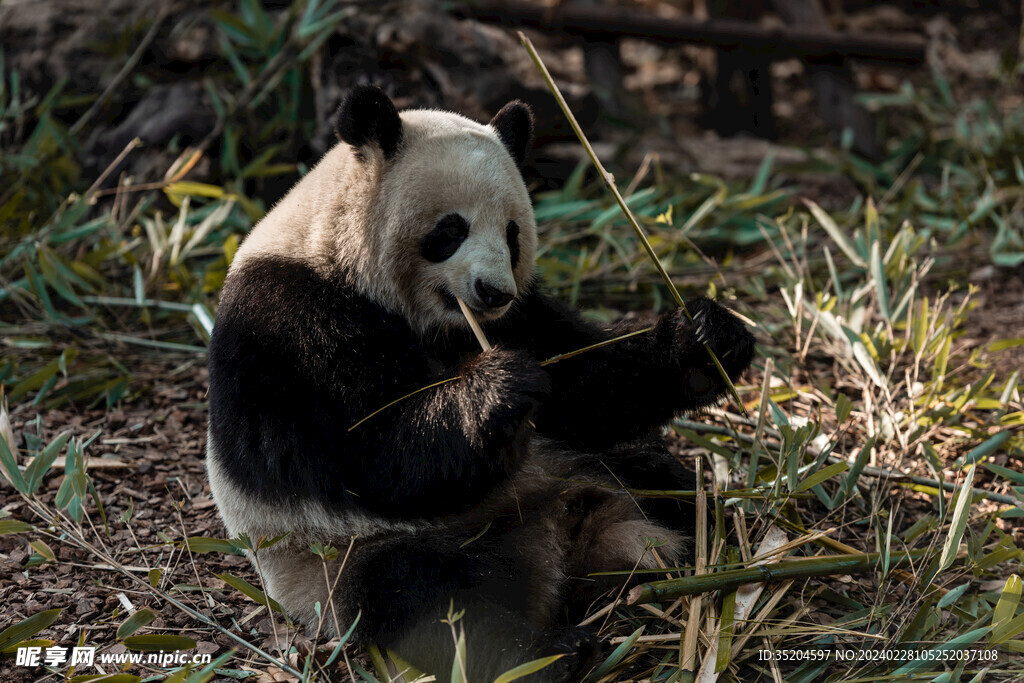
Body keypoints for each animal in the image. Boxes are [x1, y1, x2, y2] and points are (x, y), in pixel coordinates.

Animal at [205, 87, 753, 683]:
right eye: (450, 230)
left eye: (513, 235)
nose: (492, 292)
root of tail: (560, 548)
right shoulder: (289, 322)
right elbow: (372, 454)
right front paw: (500, 389)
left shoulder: (523, 315)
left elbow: (585, 387)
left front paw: (703, 342)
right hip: (340, 556)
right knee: (429, 598)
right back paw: (551, 654)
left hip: (580, 468)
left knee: (662, 480)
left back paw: (702, 529)